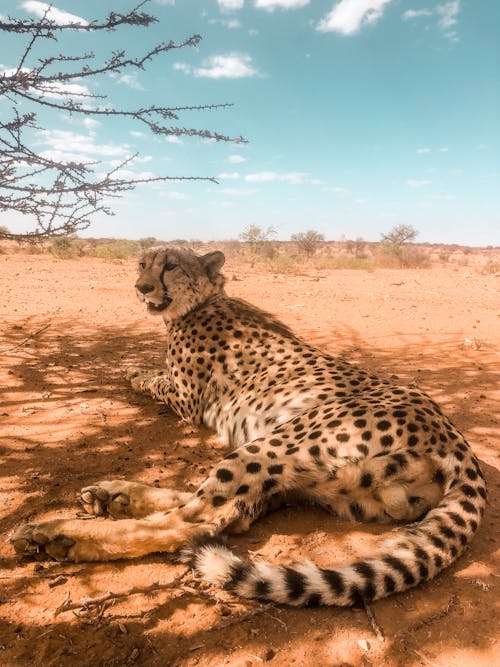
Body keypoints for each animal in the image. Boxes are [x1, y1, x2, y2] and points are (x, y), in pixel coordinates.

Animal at [10, 248, 488, 608]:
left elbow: (152, 379)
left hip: (279, 443)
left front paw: (132, 372)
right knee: (231, 513)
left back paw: (57, 534)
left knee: (195, 522)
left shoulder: (187, 402)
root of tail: (457, 442)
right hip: (320, 480)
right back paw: (113, 496)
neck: (205, 299)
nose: (142, 287)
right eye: (142, 263)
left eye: (170, 265)